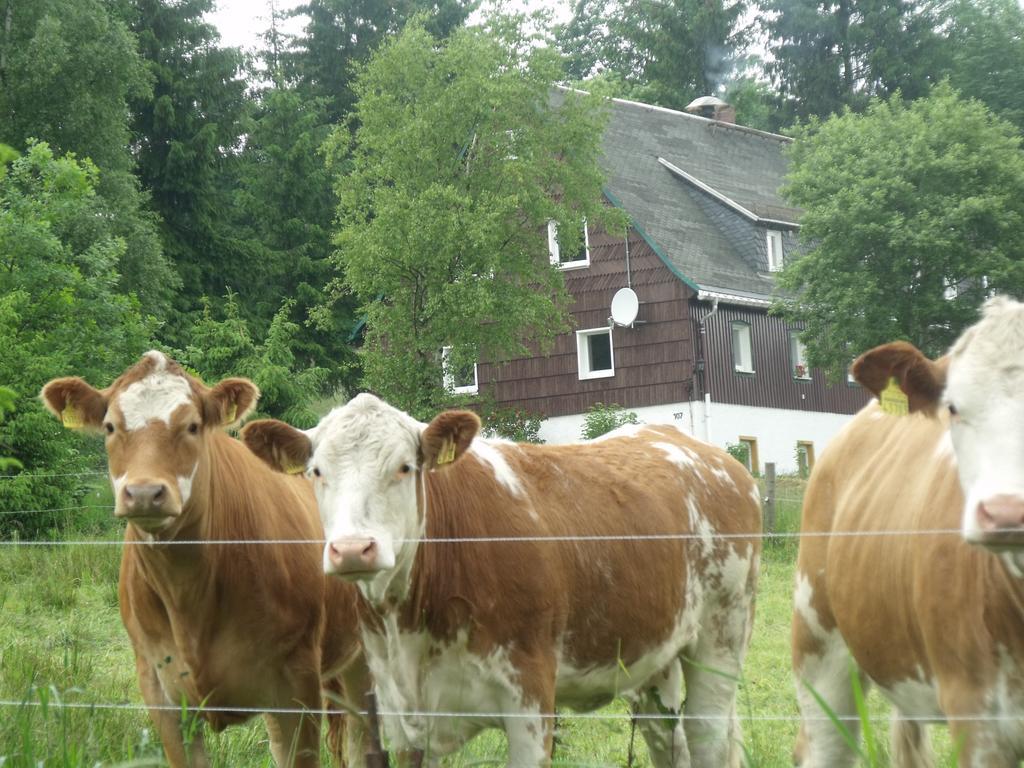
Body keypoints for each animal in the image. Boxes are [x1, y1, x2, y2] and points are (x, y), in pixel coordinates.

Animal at [44, 354, 374, 768]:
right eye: (110, 426)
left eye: (192, 425)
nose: (144, 493)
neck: (189, 597)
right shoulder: (160, 690)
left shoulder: (297, 685)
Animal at [239, 393, 761, 765]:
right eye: (316, 471)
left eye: (404, 467)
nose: (352, 548)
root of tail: (710, 456)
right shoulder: (400, 715)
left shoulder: (530, 700)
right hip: (654, 658)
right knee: (667, 738)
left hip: (723, 633)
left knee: (707, 733)